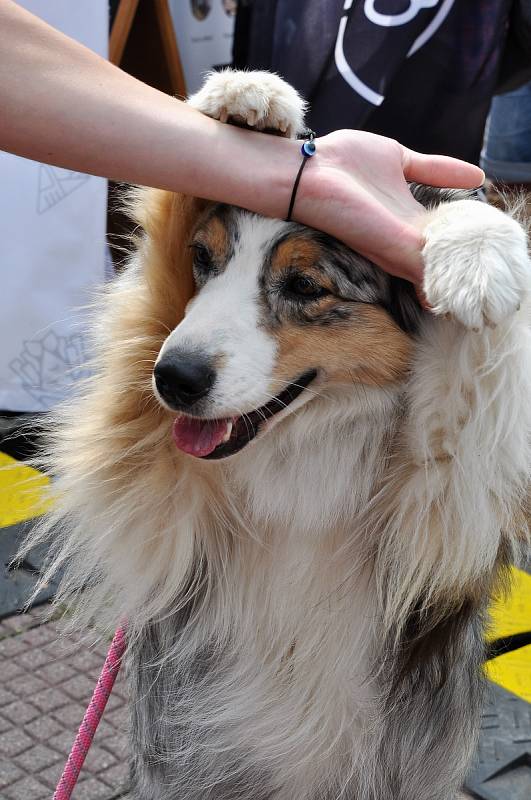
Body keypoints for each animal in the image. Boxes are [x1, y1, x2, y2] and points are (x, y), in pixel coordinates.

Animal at [25, 72, 531, 796]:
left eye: (304, 285)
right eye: (203, 259)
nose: (173, 379)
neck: (303, 443)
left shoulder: (447, 497)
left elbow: (482, 367)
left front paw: (478, 259)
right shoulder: (150, 469)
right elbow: (160, 245)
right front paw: (249, 100)